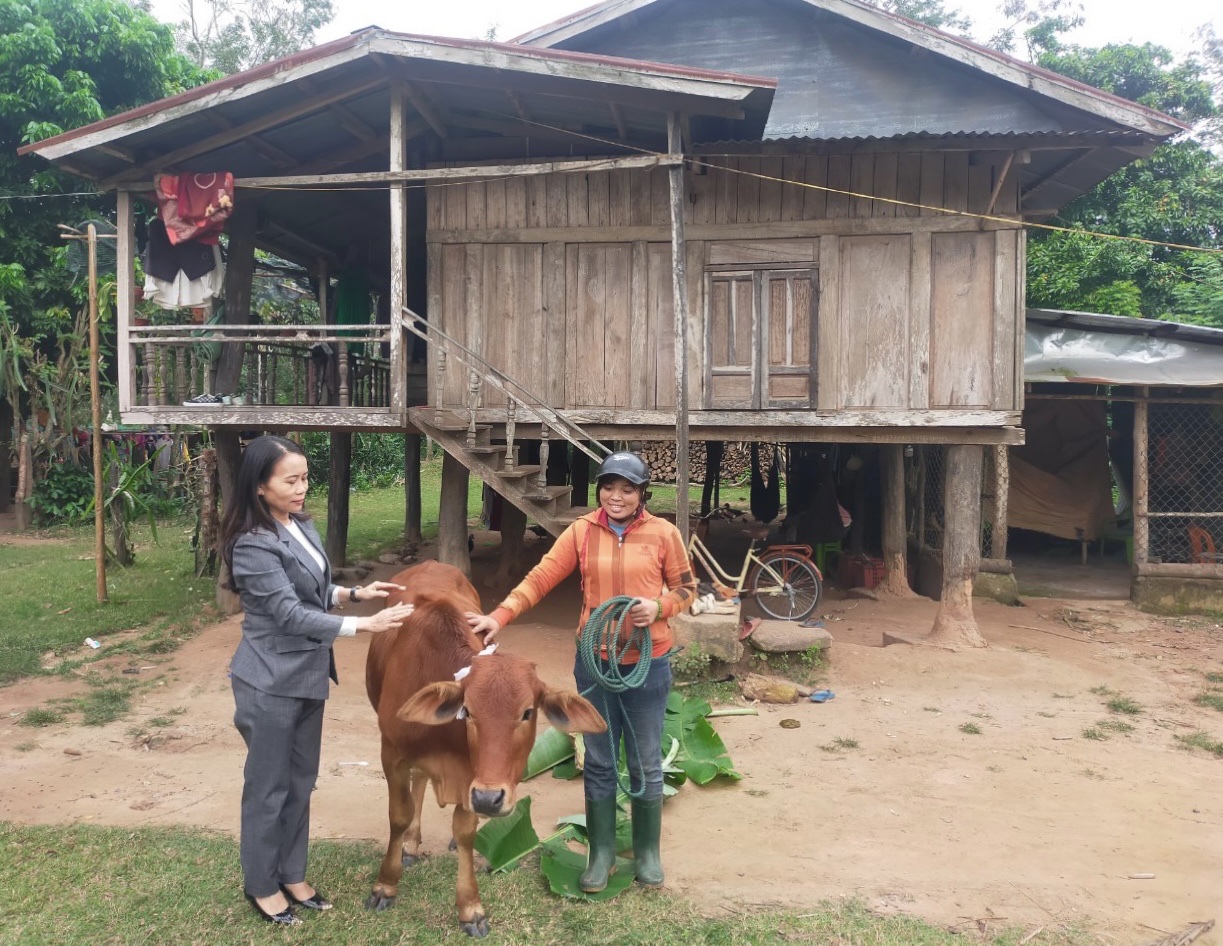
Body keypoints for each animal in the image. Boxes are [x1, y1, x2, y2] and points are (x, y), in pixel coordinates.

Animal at [364, 562, 609, 938]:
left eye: (528, 713)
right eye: (468, 712)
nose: (489, 800)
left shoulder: (471, 774)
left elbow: (464, 830)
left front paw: (470, 908)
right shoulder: (391, 752)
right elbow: (399, 815)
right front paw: (385, 886)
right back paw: (410, 842)